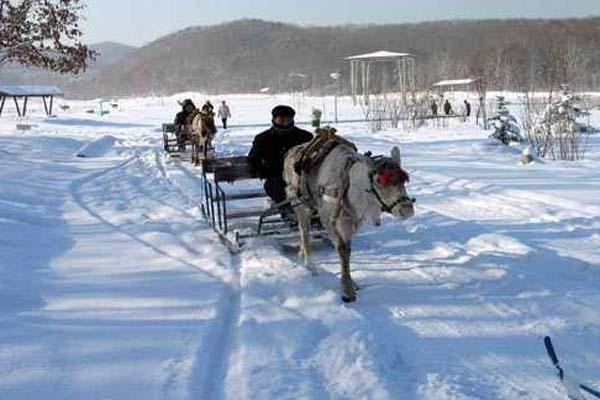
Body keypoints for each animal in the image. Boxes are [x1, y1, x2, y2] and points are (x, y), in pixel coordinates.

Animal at [284, 139, 414, 302]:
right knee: (304, 231)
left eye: (404, 179)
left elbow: (348, 250)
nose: (407, 210)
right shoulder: (329, 219)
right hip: (301, 205)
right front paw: (347, 291)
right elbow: (341, 249)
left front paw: (352, 283)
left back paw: (301, 254)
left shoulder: (349, 221)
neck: (352, 190)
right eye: (379, 180)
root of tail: (288, 153)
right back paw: (310, 265)